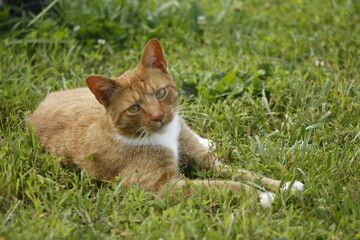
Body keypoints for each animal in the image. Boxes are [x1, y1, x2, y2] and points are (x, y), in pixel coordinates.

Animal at [28, 38, 304, 207]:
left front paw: (284, 185)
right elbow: (222, 185)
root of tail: (40, 104)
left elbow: (243, 173)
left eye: (160, 93)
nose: (159, 116)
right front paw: (262, 197)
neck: (164, 136)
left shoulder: (205, 161)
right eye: (134, 108)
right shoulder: (161, 187)